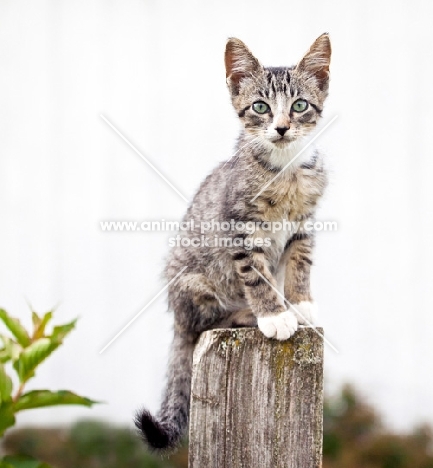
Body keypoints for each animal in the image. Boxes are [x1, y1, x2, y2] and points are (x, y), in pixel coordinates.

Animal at [135, 33, 330, 450]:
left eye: (299, 105)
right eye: (260, 106)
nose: (282, 128)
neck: (285, 170)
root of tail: (176, 318)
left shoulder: (304, 225)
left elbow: (300, 261)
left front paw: (300, 303)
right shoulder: (239, 228)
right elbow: (256, 274)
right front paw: (274, 315)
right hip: (192, 283)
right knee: (204, 321)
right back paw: (245, 315)